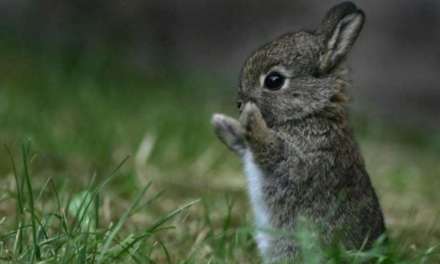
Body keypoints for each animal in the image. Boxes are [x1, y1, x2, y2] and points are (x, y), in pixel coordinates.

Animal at [211, 1, 386, 262]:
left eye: (274, 80)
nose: (240, 104)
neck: (310, 113)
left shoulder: (299, 160)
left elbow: (269, 149)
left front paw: (251, 116)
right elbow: (244, 145)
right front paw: (221, 122)